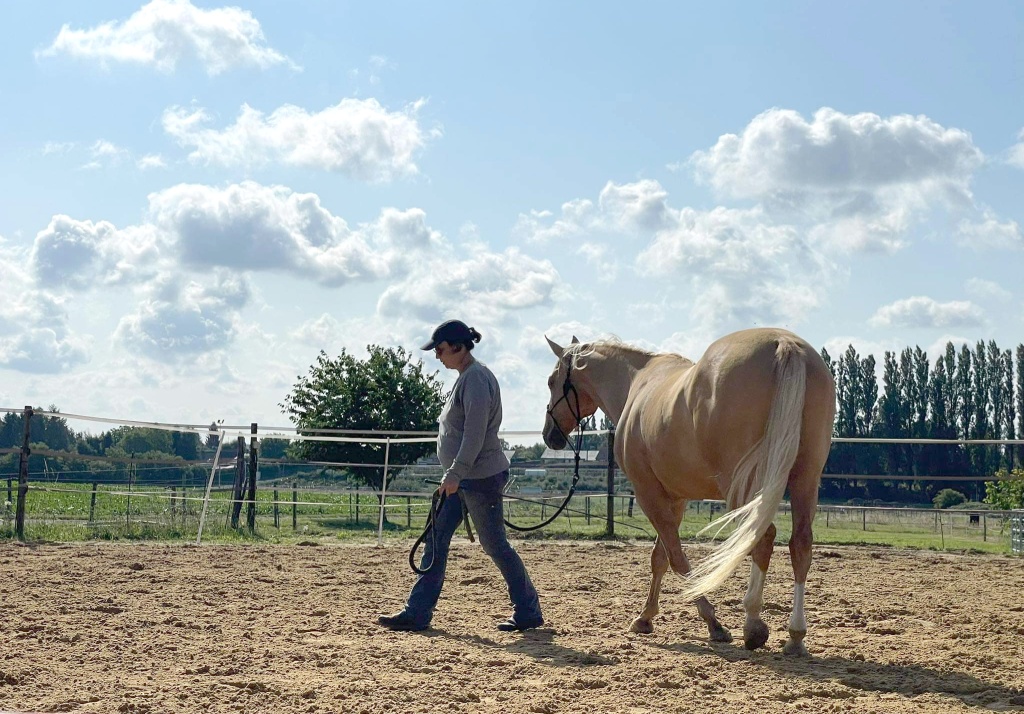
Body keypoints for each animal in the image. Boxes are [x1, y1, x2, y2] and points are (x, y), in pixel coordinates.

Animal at [540, 327, 835, 655]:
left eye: (551, 381)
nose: (549, 435)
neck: (637, 381)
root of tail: (784, 343)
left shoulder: (647, 493)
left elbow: (677, 558)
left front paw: (713, 623)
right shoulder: (676, 498)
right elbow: (659, 557)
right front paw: (645, 617)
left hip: (742, 486)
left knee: (762, 537)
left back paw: (753, 625)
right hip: (805, 478)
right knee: (800, 544)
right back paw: (795, 636)